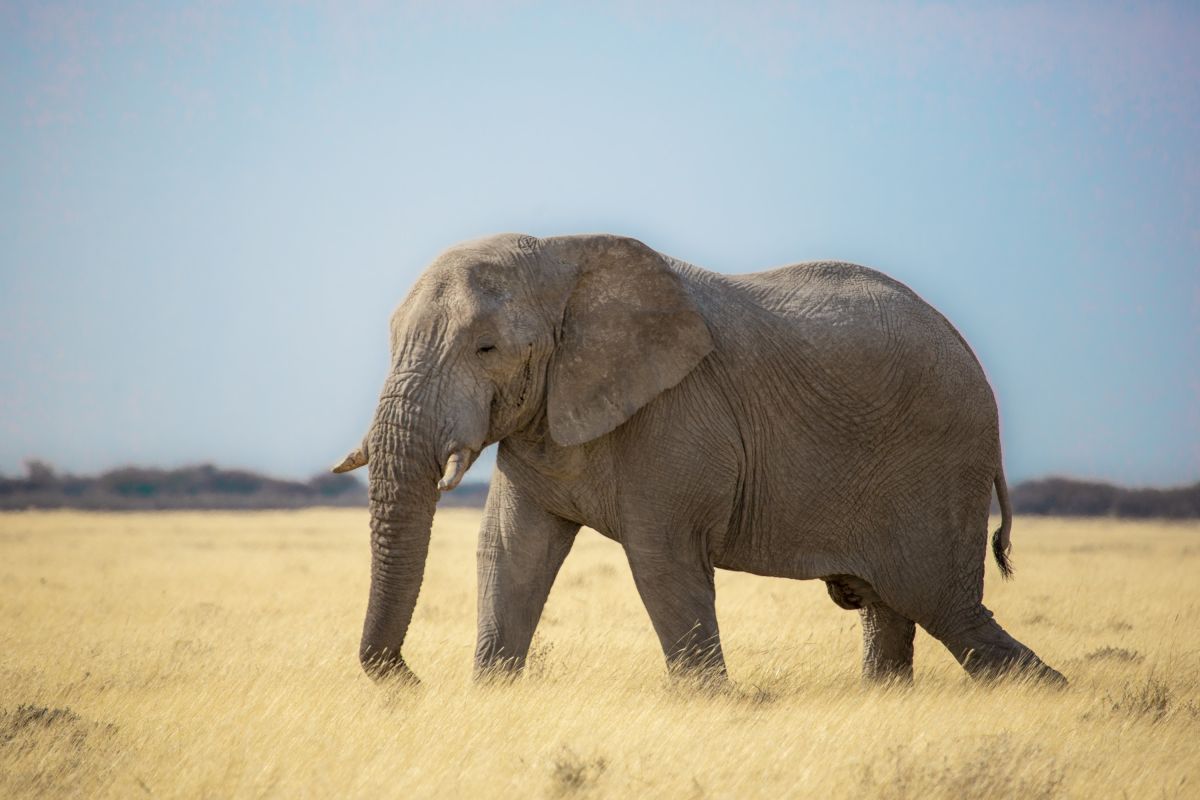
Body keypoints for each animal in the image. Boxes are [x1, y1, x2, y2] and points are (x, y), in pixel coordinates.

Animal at [333, 232, 1065, 687]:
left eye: (485, 348)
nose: (410, 681)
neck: (563, 258)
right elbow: (510, 551)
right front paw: (491, 696)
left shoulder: (679, 415)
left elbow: (662, 559)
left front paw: (709, 703)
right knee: (894, 612)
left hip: (938, 466)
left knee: (948, 609)